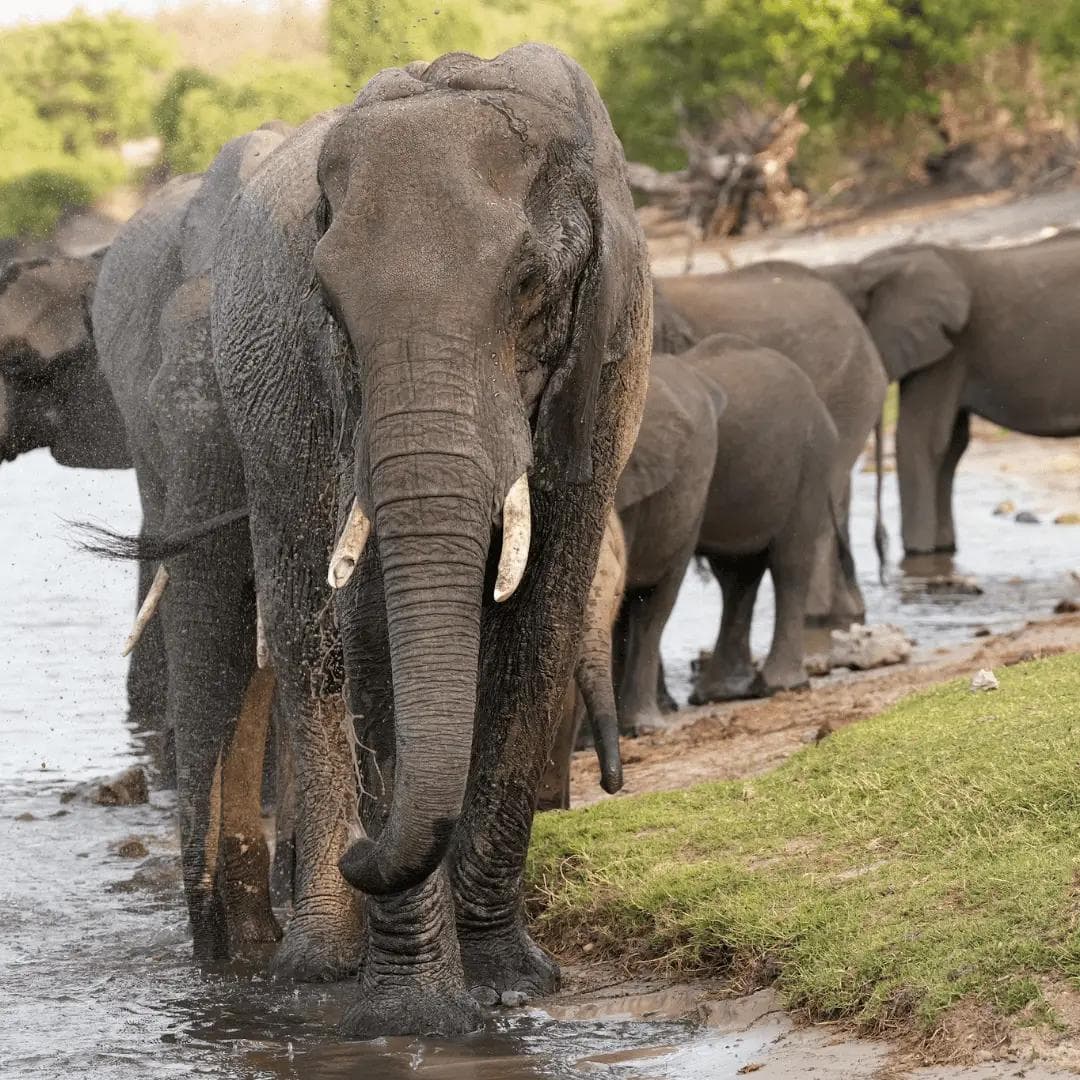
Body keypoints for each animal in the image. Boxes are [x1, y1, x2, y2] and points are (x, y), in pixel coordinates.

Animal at [208, 45, 650, 1037]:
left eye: (527, 286)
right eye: (330, 309)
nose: (361, 852)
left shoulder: (604, 366)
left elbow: (541, 620)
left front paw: (509, 982)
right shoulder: (339, 402)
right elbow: (370, 627)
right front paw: (416, 1019)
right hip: (266, 427)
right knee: (308, 640)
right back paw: (318, 963)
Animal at [817, 232, 1080, 557]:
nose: (881, 543)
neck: (864, 269)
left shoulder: (949, 351)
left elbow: (918, 440)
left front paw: (917, 553)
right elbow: (952, 444)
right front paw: (943, 549)